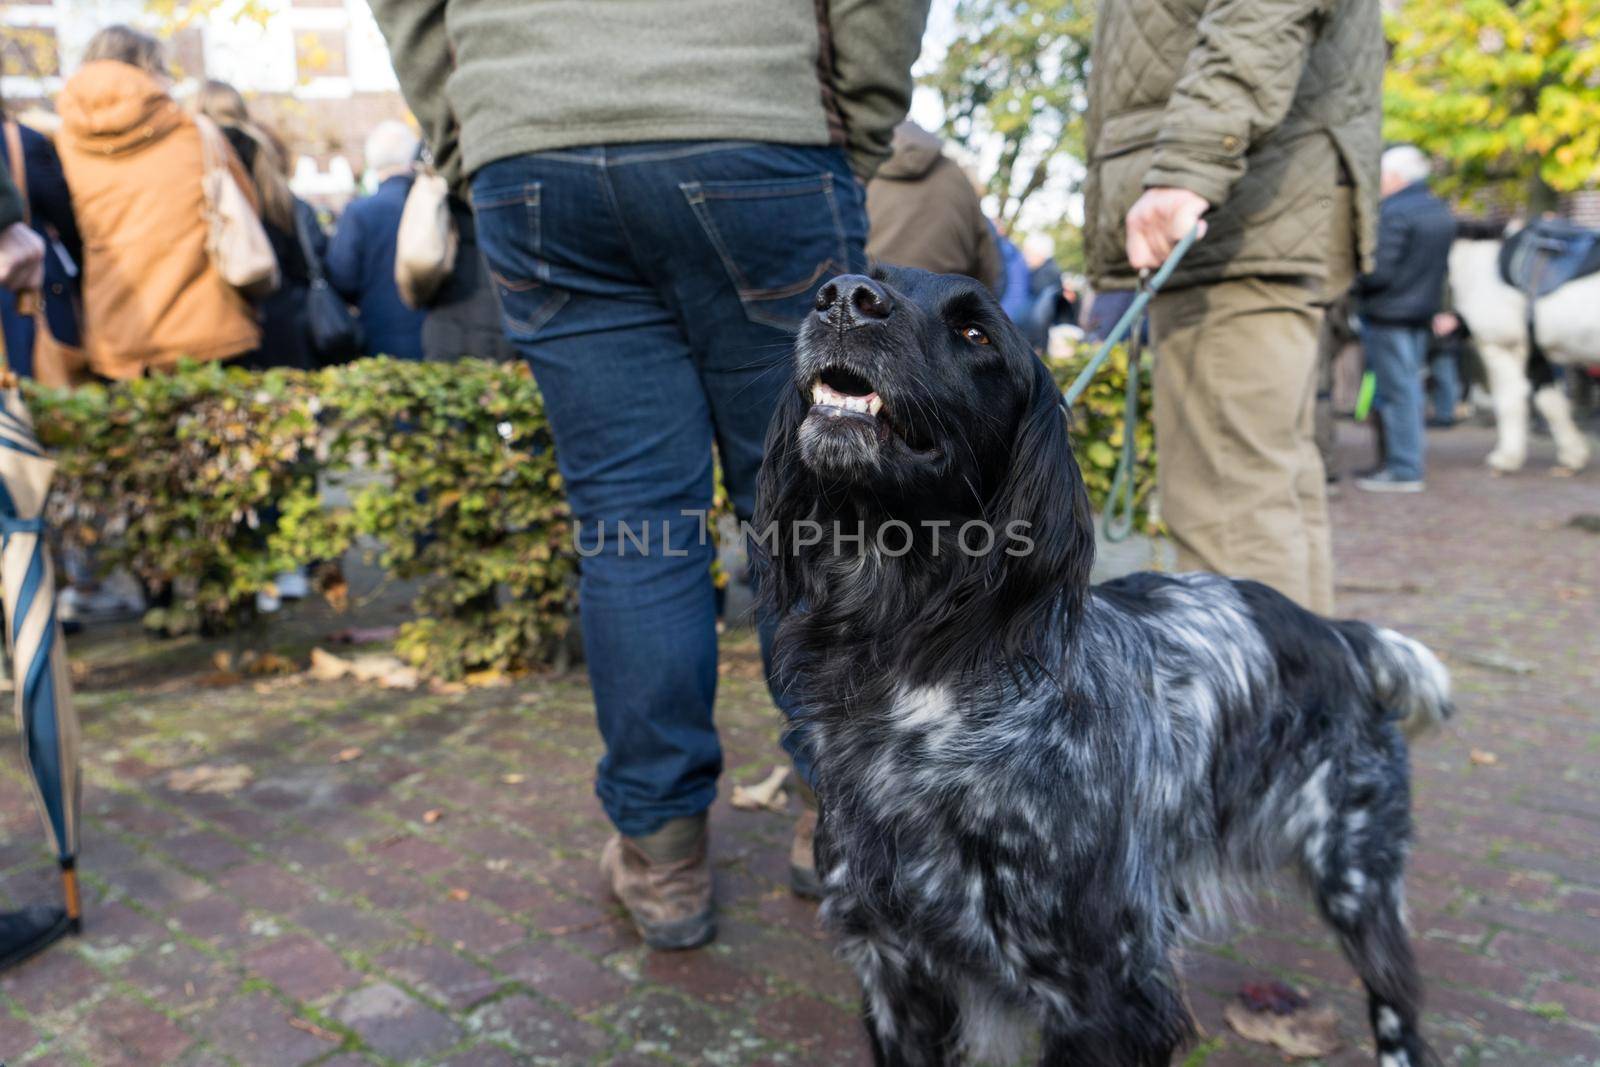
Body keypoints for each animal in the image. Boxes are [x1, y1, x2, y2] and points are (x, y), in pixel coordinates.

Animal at [755, 268, 1459, 1067]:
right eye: (864, 277)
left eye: (976, 333)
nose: (844, 298)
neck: (910, 675)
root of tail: (1342, 636)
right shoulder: (893, 970)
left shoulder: (1105, 995)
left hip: (1357, 879)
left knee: (1398, 1011)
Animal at [1452, 244, 1600, 476]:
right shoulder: (1535, 355)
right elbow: (1551, 403)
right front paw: (1572, 455)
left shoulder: (1502, 347)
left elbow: (1509, 401)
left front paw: (1506, 458)